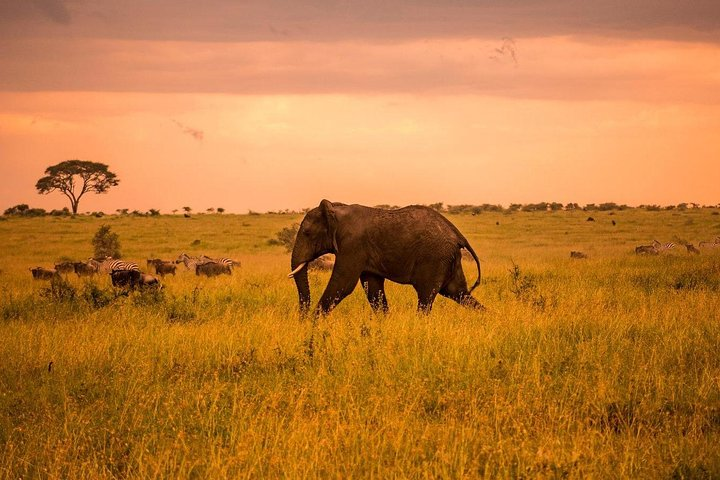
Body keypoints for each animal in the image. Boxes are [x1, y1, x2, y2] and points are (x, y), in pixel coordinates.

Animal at [286, 201, 484, 316]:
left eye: (307, 233)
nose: (302, 316)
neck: (336, 209)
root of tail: (458, 235)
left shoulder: (352, 245)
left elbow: (342, 285)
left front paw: (312, 324)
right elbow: (372, 288)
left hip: (434, 258)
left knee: (426, 297)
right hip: (448, 259)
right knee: (459, 293)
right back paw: (486, 319)